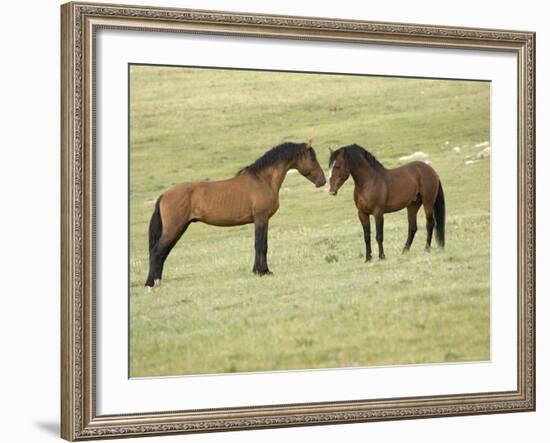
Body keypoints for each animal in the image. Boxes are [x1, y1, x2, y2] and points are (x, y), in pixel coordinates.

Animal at [146, 140, 328, 290]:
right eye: (313, 159)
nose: (323, 181)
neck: (263, 180)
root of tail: (164, 195)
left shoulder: (262, 221)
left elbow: (262, 245)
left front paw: (260, 270)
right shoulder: (261, 219)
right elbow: (261, 245)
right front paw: (262, 272)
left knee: (162, 253)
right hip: (175, 228)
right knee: (157, 252)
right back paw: (151, 284)